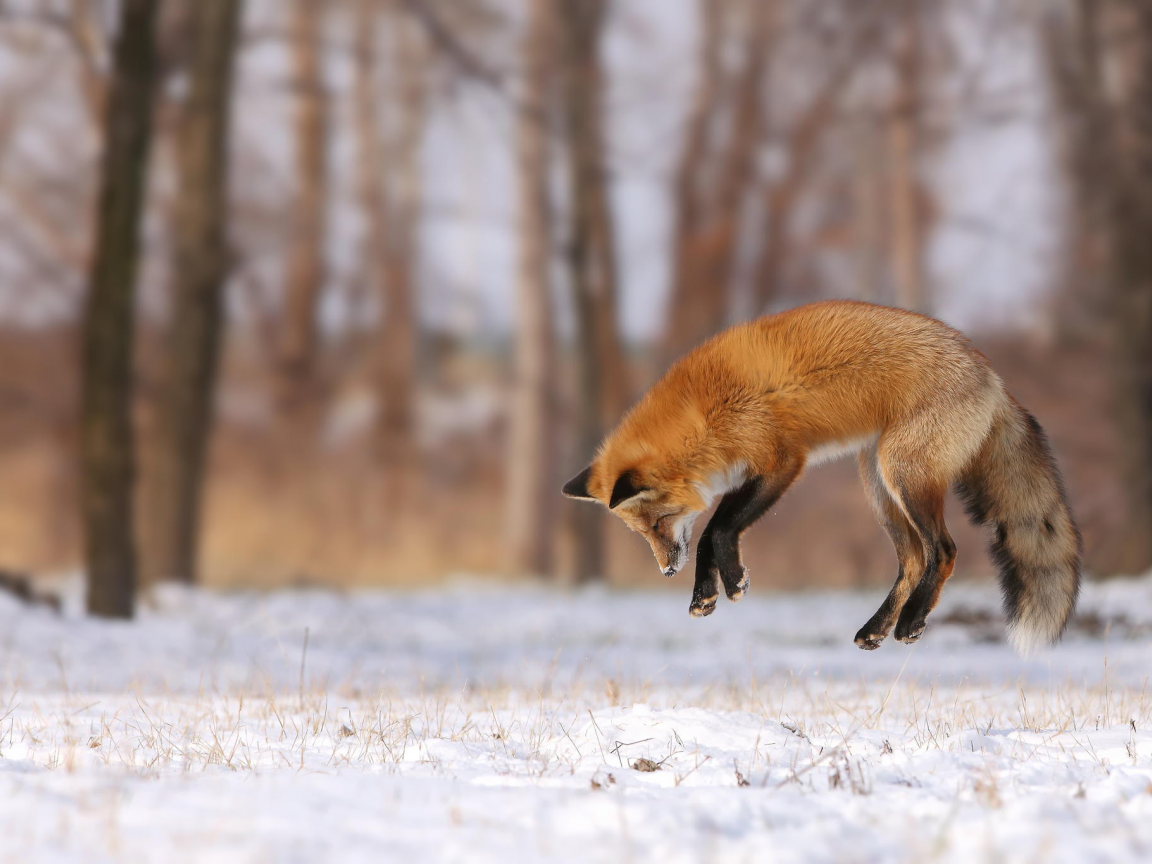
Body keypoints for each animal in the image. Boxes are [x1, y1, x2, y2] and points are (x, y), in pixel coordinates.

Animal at [564, 301, 1078, 654]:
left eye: (656, 524)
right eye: (641, 533)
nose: (666, 570)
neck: (703, 412)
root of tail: (991, 372)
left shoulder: (781, 462)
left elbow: (718, 528)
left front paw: (731, 582)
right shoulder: (751, 471)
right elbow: (710, 533)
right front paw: (705, 595)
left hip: (904, 475)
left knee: (944, 550)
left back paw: (911, 621)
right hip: (878, 486)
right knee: (913, 560)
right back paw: (876, 629)